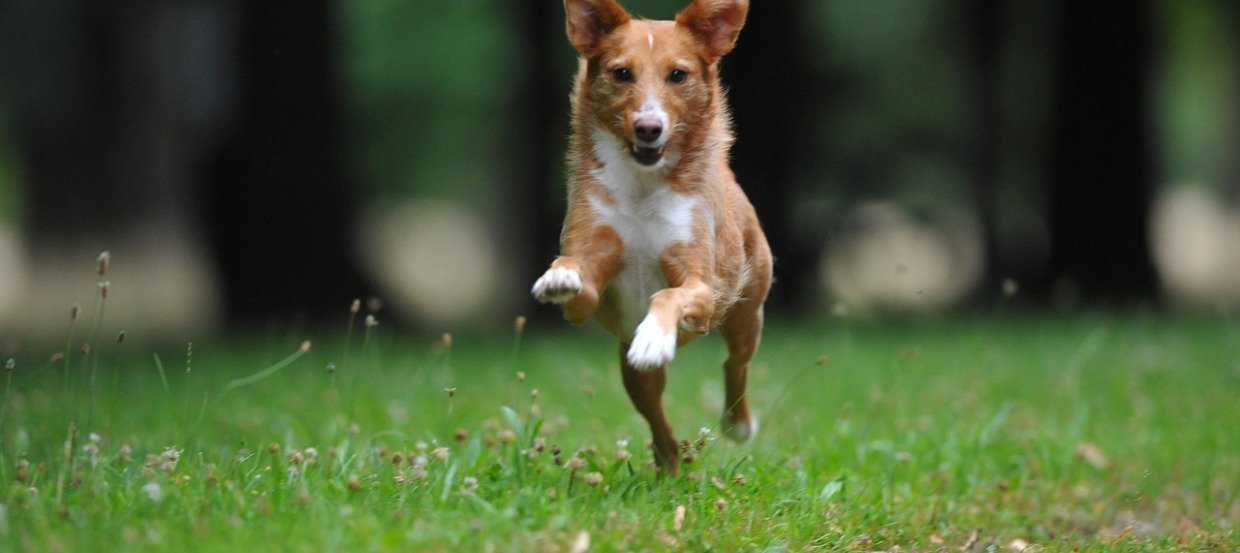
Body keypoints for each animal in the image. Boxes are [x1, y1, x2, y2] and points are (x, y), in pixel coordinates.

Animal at [530, 0, 768, 476]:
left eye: (678, 74)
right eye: (622, 73)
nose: (648, 127)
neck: (643, 188)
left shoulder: (701, 286)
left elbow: (670, 295)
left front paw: (655, 335)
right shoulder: (589, 282)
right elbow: (575, 275)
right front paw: (559, 277)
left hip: (745, 311)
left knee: (736, 361)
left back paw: (738, 423)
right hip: (635, 376)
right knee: (657, 418)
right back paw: (668, 466)